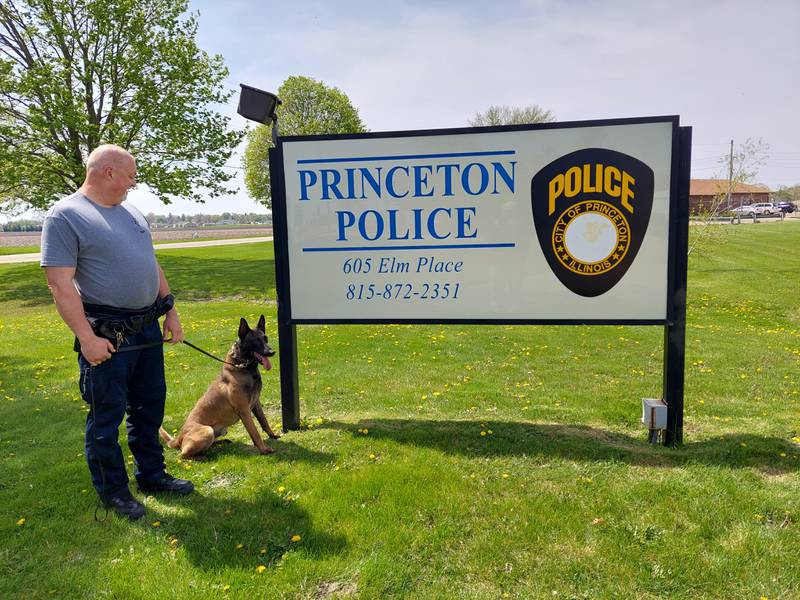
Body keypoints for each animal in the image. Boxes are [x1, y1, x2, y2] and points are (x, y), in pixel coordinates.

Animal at [158, 314, 280, 460]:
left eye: (265, 338)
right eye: (255, 341)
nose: (272, 352)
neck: (243, 366)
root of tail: (178, 437)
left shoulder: (256, 403)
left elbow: (264, 421)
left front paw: (272, 435)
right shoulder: (244, 410)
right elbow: (254, 431)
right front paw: (264, 449)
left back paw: (220, 442)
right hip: (207, 430)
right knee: (183, 454)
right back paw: (201, 457)